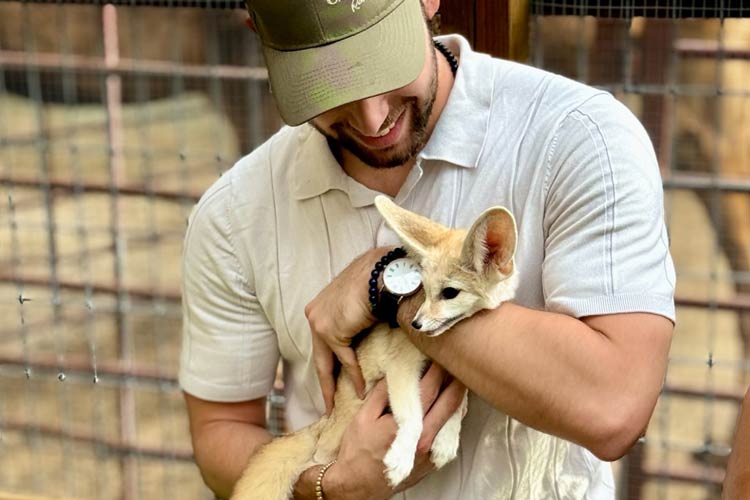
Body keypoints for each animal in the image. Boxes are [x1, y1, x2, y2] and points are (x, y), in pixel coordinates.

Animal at [230, 195, 519, 500]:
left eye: (449, 293)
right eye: (424, 291)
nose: (415, 324)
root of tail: (325, 420)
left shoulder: (456, 373)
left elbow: (458, 404)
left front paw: (447, 439)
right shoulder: (400, 367)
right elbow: (413, 417)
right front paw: (402, 457)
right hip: (343, 425)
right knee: (316, 460)